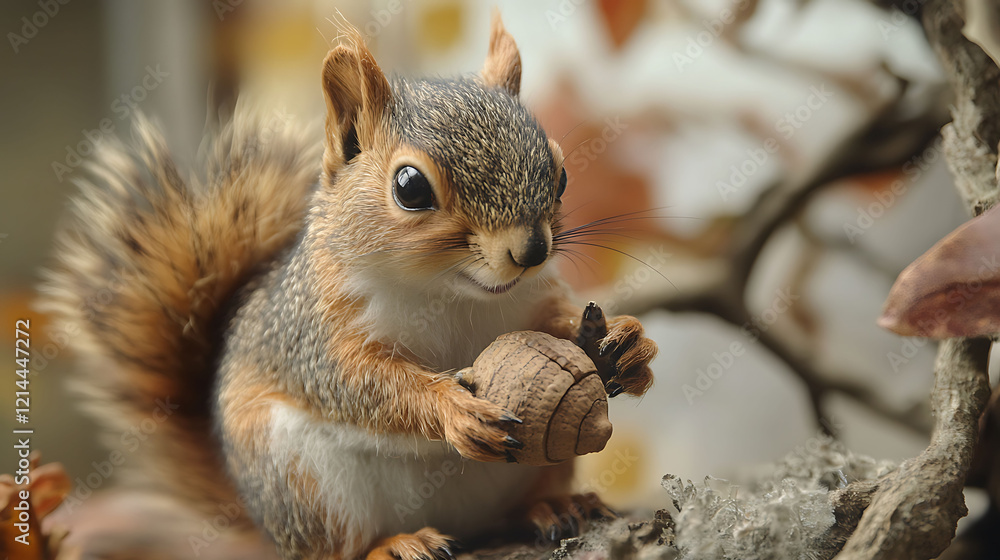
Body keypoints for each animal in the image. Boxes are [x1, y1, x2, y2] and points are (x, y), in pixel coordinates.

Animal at [41, 15, 658, 560]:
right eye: (410, 187)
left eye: (561, 173)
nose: (530, 251)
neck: (450, 294)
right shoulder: (317, 332)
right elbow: (358, 382)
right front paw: (451, 408)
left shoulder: (533, 298)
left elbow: (561, 323)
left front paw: (625, 344)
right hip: (302, 480)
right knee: (336, 547)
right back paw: (392, 544)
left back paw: (551, 507)